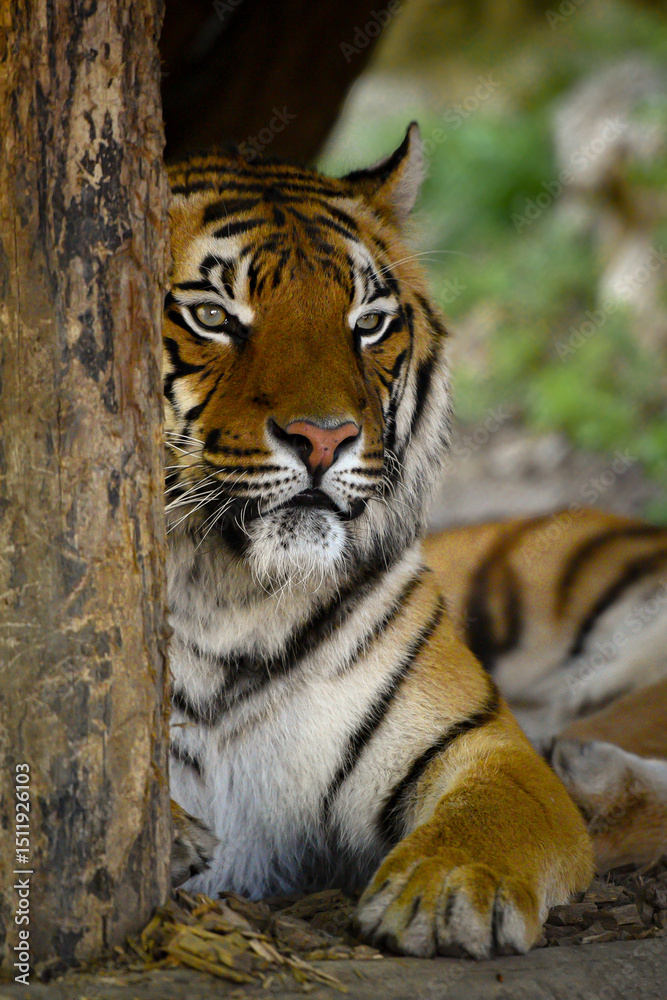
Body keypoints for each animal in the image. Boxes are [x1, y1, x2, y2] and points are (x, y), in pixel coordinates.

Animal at [163, 123, 596, 959]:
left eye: (366, 324)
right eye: (211, 315)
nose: (324, 439)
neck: (227, 591)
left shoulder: (481, 743)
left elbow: (492, 812)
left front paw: (454, 887)